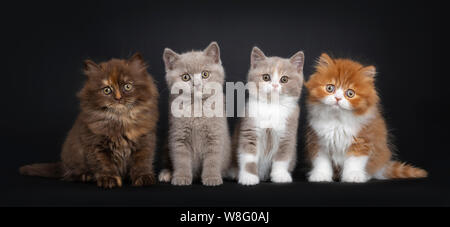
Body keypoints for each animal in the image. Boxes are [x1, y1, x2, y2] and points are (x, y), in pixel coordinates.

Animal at [19, 53, 160, 188]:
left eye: (127, 86)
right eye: (107, 90)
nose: (118, 98)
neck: (120, 120)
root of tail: (62, 165)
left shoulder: (145, 141)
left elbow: (142, 163)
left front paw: (143, 177)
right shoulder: (95, 144)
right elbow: (104, 165)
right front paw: (108, 179)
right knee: (70, 174)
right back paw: (85, 176)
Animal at [304, 53, 428, 183]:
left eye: (350, 93)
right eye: (330, 88)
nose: (338, 98)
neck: (337, 121)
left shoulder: (362, 141)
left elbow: (354, 162)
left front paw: (353, 176)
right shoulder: (317, 141)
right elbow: (321, 162)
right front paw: (320, 175)